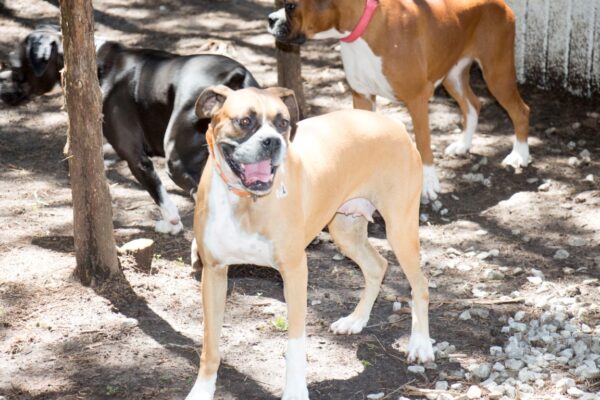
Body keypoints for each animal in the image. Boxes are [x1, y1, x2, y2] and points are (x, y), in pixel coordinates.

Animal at [0, 28, 258, 234]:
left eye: (14, 67)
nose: (1, 85)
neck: (99, 64)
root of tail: (234, 76)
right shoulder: (116, 148)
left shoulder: (136, 157)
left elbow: (158, 192)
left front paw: (172, 223)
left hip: (177, 162)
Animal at [185, 86, 434, 398]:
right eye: (245, 121)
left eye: (283, 123)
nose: (272, 142)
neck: (244, 201)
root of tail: (394, 124)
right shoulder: (214, 274)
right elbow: (210, 344)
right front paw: (202, 390)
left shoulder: (294, 273)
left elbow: (295, 344)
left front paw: (294, 391)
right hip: (345, 230)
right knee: (377, 266)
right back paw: (356, 320)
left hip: (400, 230)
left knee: (420, 285)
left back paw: (420, 344)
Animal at [268, 0, 528, 203]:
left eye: (290, 6)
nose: (270, 19)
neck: (361, 29)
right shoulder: (362, 97)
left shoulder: (417, 99)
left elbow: (423, 142)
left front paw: (428, 183)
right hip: (453, 75)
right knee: (473, 104)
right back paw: (463, 144)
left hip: (497, 73)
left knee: (520, 110)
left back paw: (520, 155)